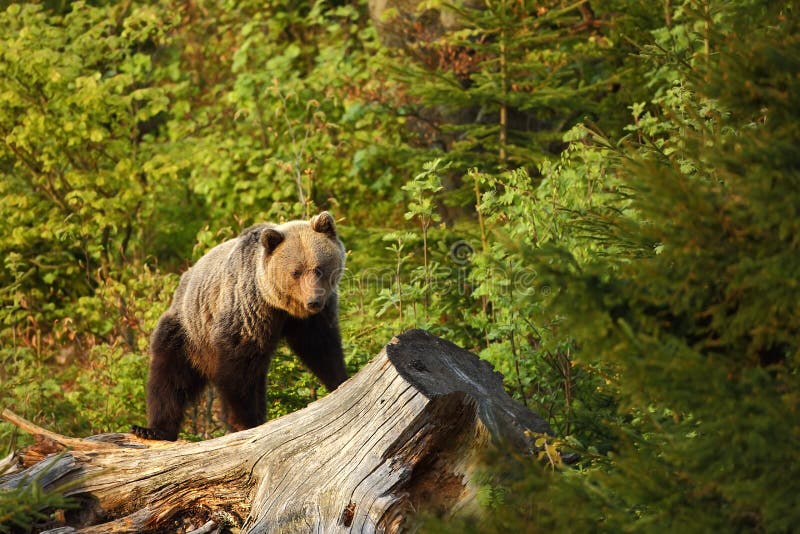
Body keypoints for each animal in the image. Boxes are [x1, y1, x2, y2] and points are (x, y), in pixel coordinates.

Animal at [130, 211, 346, 442]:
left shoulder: (312, 318)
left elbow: (321, 348)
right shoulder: (248, 310)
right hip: (189, 332)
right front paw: (244, 423)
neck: (280, 306)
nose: (313, 301)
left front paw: (340, 381)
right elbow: (240, 368)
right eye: (295, 272)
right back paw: (154, 429)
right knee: (169, 377)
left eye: (318, 268)